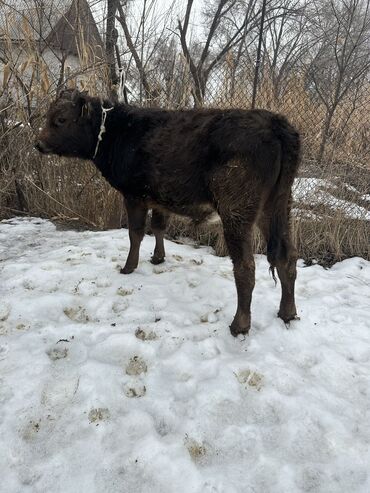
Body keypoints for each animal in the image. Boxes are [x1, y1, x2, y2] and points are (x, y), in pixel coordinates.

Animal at [35, 88, 300, 336]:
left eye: (60, 119)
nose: (38, 144)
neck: (117, 133)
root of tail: (276, 122)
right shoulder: (159, 199)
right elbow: (158, 227)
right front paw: (158, 258)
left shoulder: (134, 196)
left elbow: (135, 233)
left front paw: (128, 267)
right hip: (278, 207)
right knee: (286, 257)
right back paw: (287, 312)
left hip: (237, 210)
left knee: (245, 266)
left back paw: (240, 325)